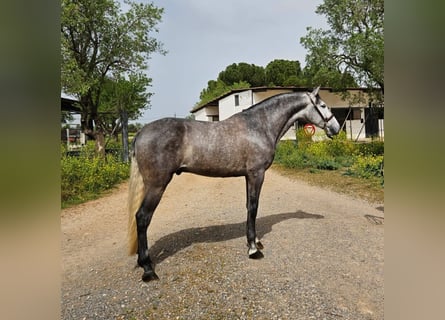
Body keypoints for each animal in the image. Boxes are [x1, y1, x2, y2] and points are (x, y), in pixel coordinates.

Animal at [126, 86, 338, 282]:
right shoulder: (257, 174)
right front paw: (253, 249)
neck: (260, 126)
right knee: (142, 217)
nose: (335, 128)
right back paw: (148, 269)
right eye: (323, 105)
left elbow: (248, 206)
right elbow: (253, 207)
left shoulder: (248, 176)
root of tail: (140, 133)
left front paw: (255, 241)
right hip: (157, 185)